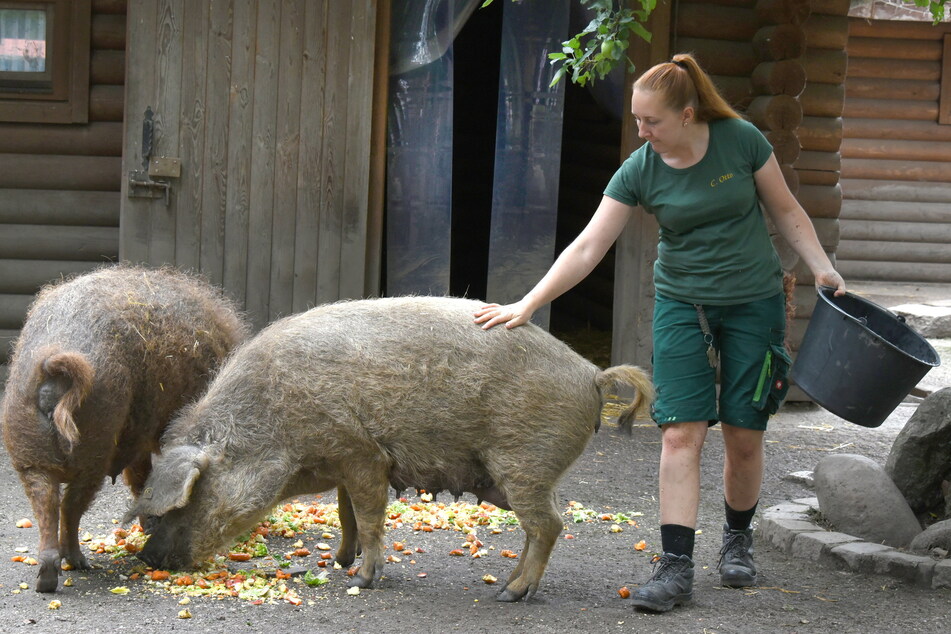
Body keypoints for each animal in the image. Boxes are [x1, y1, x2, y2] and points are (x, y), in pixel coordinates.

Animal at [0, 262, 249, 588]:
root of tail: (55, 364)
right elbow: (142, 479)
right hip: (93, 449)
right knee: (70, 506)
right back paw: (79, 563)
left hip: (29, 451)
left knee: (48, 504)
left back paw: (50, 576)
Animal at [128, 294, 656, 600]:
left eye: (183, 503)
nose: (146, 559)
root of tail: (593, 374)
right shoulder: (344, 461)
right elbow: (346, 515)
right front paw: (336, 562)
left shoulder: (363, 454)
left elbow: (369, 516)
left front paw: (362, 580)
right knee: (541, 526)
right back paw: (510, 585)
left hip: (525, 463)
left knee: (549, 525)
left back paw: (510, 594)